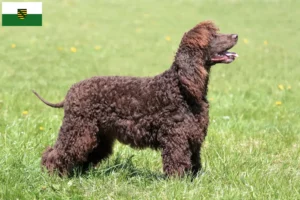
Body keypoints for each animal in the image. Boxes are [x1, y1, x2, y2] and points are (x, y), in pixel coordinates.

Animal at [32, 20, 239, 177]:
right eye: (213, 37)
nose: (236, 35)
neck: (181, 88)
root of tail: (70, 92)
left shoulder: (193, 136)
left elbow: (194, 162)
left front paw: (193, 180)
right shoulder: (176, 137)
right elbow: (178, 162)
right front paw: (178, 183)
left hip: (98, 135)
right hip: (79, 129)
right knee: (56, 153)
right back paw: (52, 175)